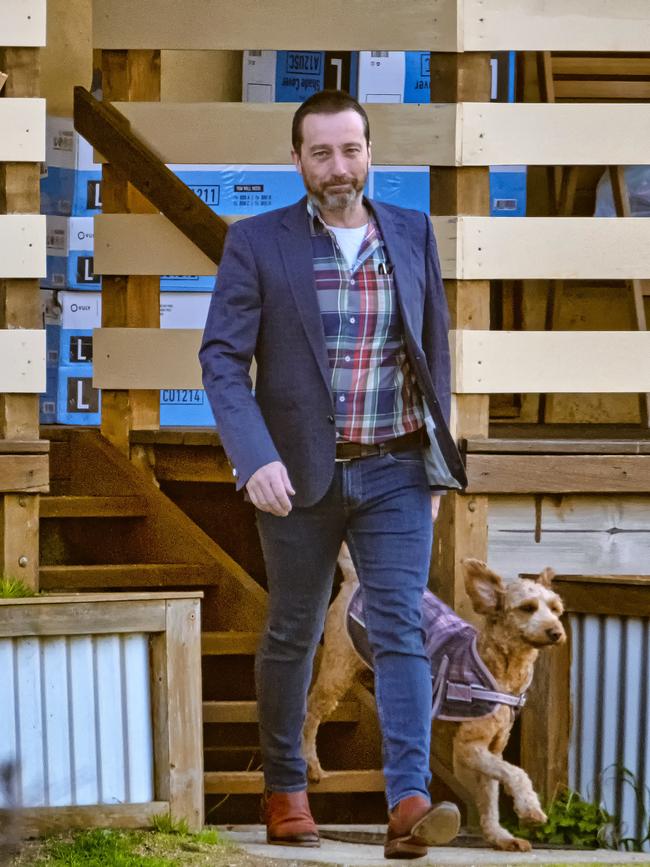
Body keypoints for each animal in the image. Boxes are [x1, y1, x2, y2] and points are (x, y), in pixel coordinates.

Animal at [302, 544, 564, 852]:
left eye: (556, 609)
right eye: (527, 608)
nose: (556, 632)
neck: (502, 671)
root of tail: (355, 578)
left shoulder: (493, 746)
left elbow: (490, 794)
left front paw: (500, 836)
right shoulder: (467, 747)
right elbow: (514, 772)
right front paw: (530, 809)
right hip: (338, 667)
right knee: (310, 713)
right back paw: (310, 763)